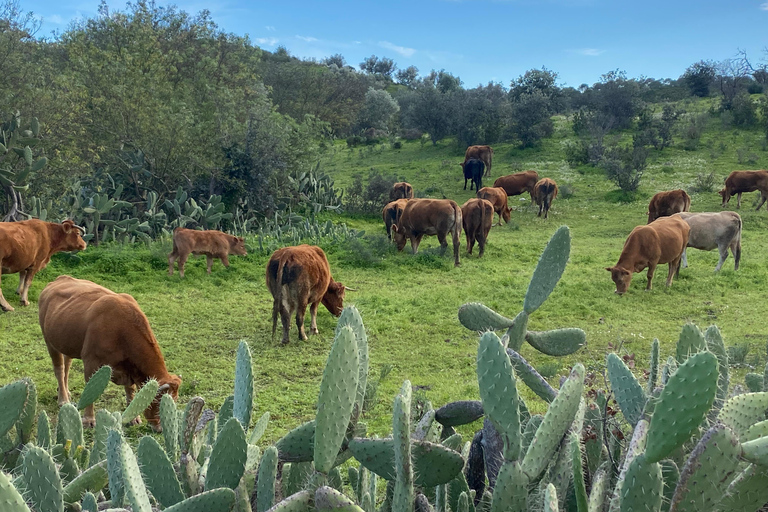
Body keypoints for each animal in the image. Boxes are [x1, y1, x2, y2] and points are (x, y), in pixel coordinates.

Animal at [39, 276, 182, 428]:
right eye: (159, 402)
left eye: (175, 401)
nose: (160, 427)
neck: (121, 329)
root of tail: (60, 278)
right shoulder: (91, 360)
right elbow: (91, 388)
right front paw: (89, 419)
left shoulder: (128, 368)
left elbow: (130, 390)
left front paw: (133, 418)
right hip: (49, 341)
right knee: (59, 369)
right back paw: (63, 399)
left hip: (67, 342)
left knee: (67, 365)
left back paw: (66, 391)